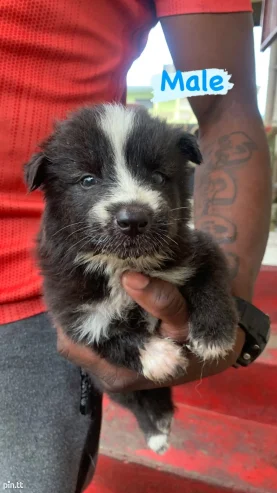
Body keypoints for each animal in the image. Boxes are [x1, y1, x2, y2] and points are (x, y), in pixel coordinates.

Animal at [24, 104, 237, 454]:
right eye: (87, 180)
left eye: (158, 176)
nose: (134, 218)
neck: (123, 265)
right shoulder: (73, 310)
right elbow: (107, 335)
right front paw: (159, 356)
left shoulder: (197, 246)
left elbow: (212, 277)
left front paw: (215, 335)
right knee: (139, 400)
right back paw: (156, 431)